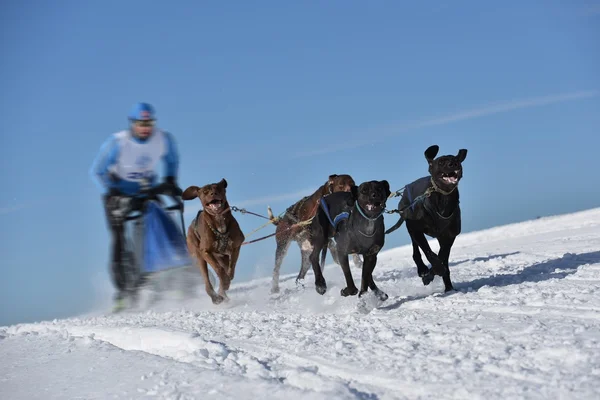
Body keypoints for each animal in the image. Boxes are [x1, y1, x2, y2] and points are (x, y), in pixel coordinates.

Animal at [386, 145, 466, 292]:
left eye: (456, 159)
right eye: (441, 162)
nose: (454, 164)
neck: (442, 200)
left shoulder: (449, 235)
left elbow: (442, 256)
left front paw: (437, 275)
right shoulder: (416, 229)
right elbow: (429, 253)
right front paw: (431, 272)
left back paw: (445, 284)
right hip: (410, 226)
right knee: (416, 251)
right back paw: (422, 269)